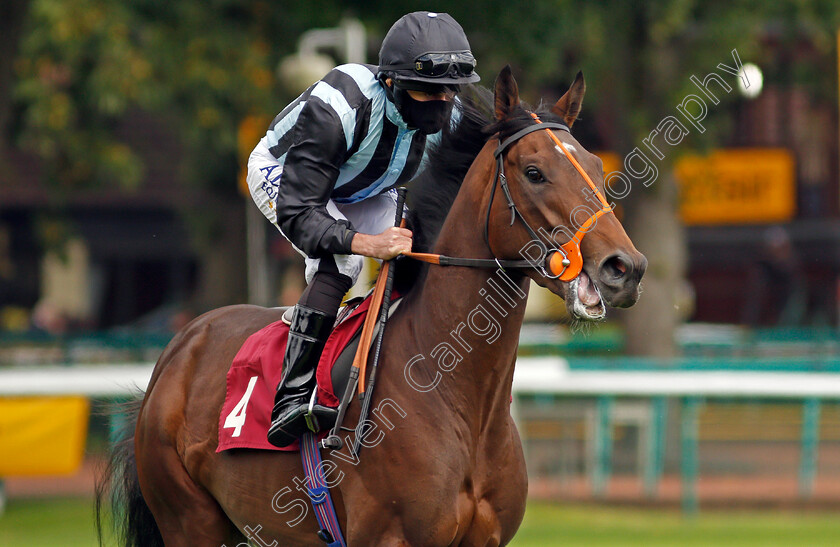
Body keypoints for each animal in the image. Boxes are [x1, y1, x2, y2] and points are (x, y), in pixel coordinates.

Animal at [100, 66, 648, 544]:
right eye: (534, 172)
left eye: (596, 167)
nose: (625, 267)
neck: (457, 398)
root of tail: (179, 348)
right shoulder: (390, 537)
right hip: (189, 520)